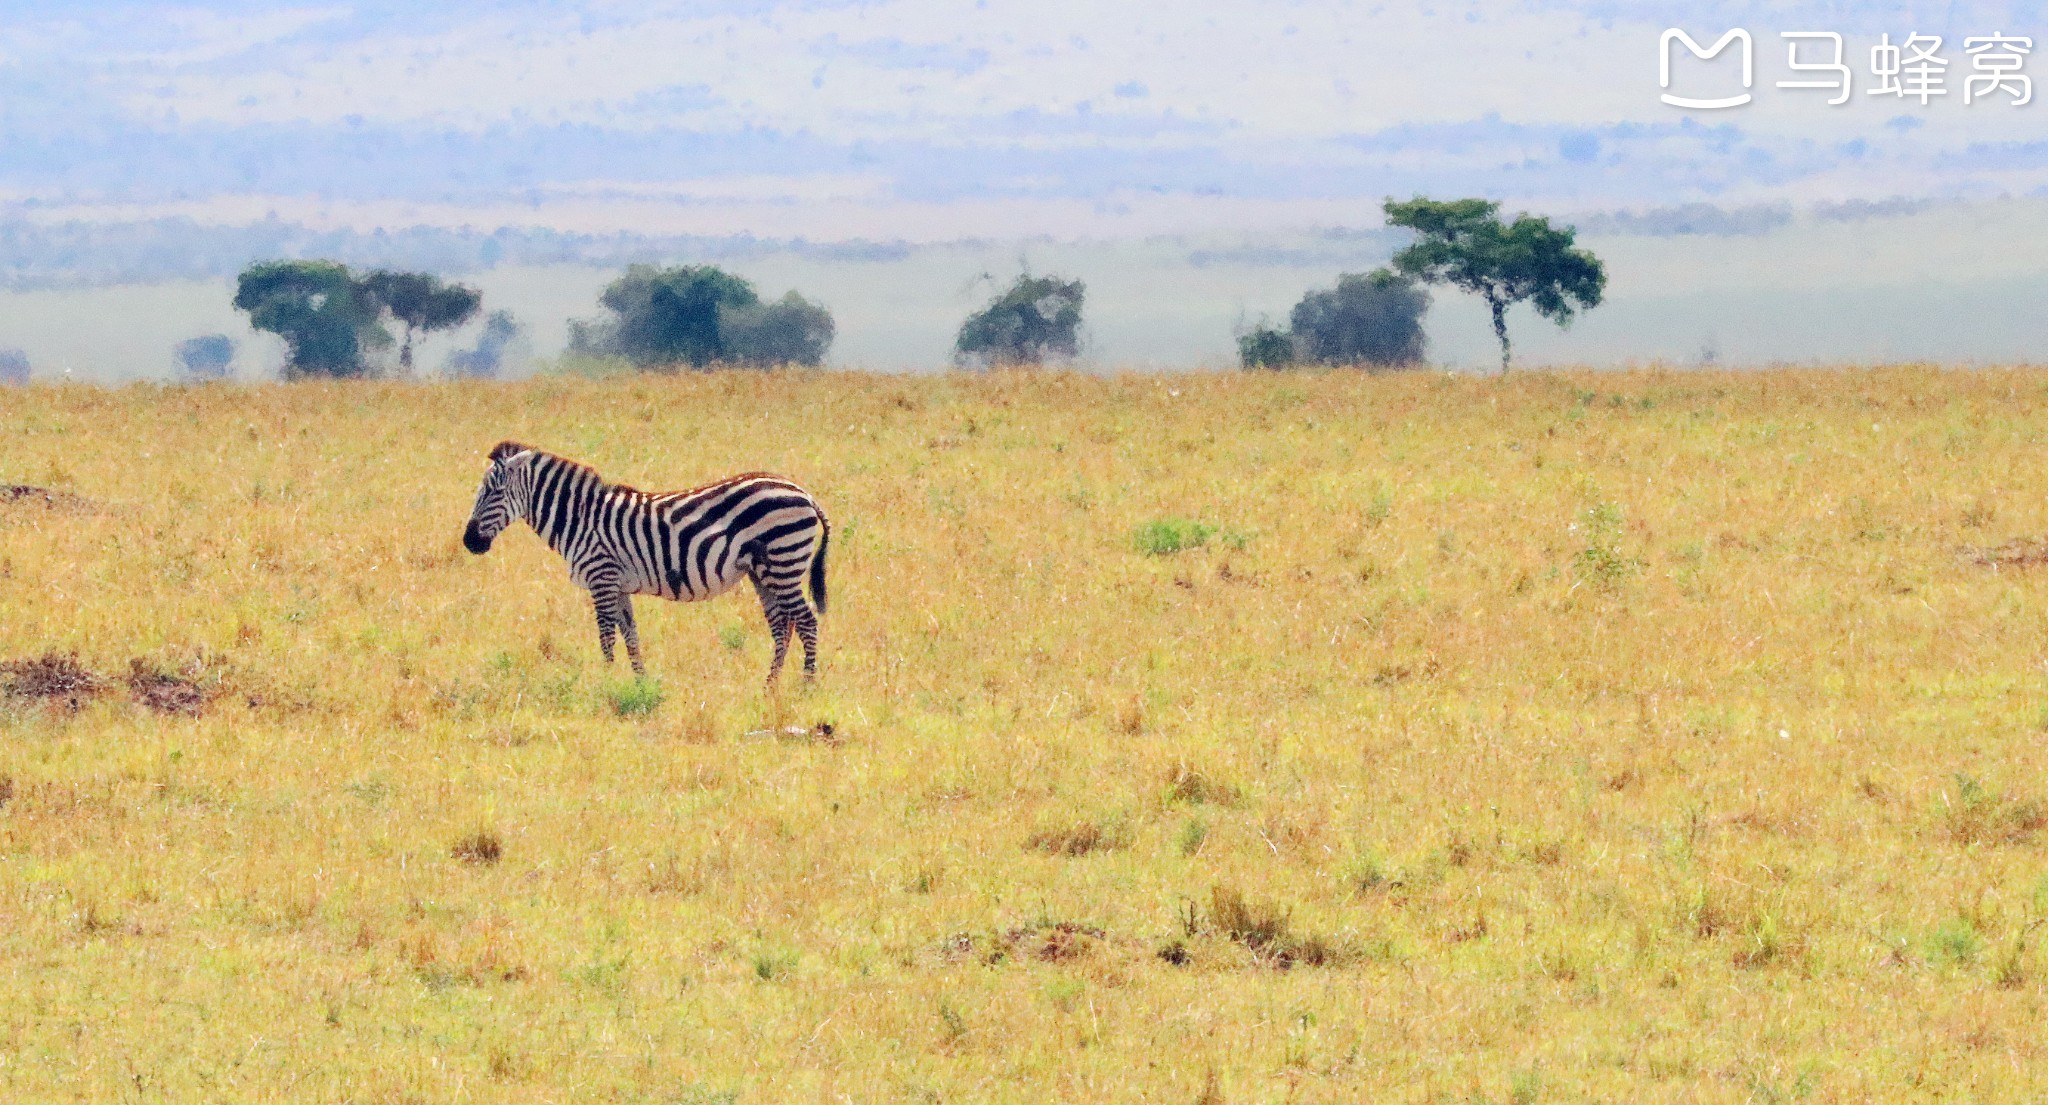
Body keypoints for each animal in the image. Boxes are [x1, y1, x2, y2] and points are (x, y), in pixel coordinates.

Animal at [464, 439, 831, 683]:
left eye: (493, 492)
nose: (469, 542)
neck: (580, 519)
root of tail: (803, 493)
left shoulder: (602, 577)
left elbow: (606, 636)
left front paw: (607, 682)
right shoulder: (618, 584)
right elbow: (630, 635)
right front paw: (639, 683)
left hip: (784, 562)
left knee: (807, 621)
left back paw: (806, 684)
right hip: (764, 572)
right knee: (782, 626)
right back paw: (770, 687)